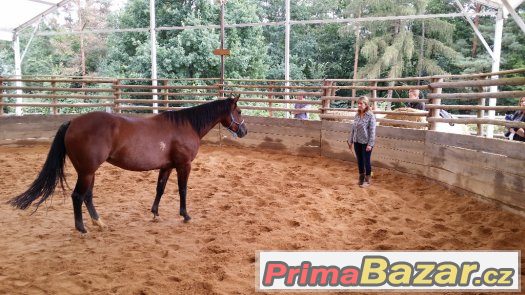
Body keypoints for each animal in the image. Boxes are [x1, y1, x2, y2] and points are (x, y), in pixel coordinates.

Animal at [7, 96, 246, 234]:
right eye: (239, 111)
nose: (244, 130)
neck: (186, 126)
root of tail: (72, 122)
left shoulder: (167, 166)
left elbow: (160, 188)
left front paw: (155, 213)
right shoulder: (183, 165)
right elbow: (183, 190)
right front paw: (185, 215)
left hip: (89, 172)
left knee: (87, 196)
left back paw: (98, 222)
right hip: (86, 172)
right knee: (77, 196)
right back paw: (82, 228)